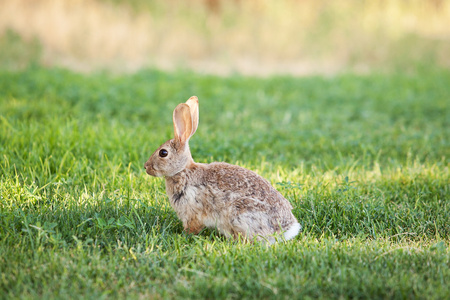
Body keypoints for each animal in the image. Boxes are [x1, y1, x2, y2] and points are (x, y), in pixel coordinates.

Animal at [143, 96, 298, 244]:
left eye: (163, 153)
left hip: (239, 213)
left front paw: (183, 235)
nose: (146, 167)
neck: (182, 170)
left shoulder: (192, 212)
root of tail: (286, 230)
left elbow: (192, 227)